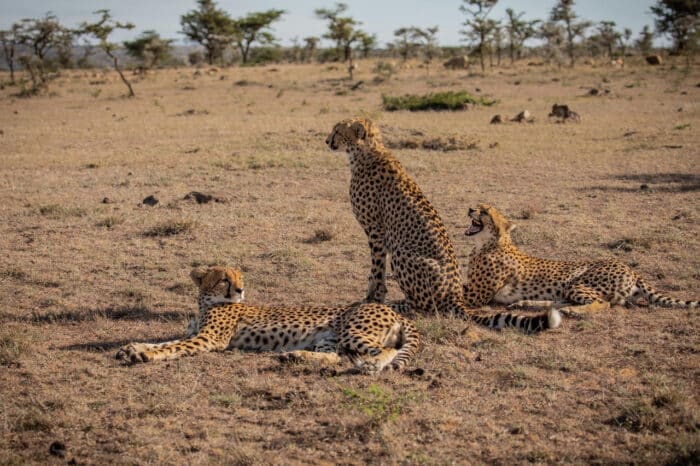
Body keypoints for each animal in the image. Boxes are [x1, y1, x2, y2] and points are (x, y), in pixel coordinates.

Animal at [117, 264, 418, 374]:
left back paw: (372, 365)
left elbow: (173, 347)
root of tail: (394, 310)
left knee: (387, 351)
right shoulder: (195, 334)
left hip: (352, 331)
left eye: (240, 278)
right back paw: (294, 357)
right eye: (224, 279)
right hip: (328, 337)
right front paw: (134, 348)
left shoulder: (208, 339)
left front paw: (144, 355)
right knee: (335, 357)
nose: (240, 290)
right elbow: (165, 342)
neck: (205, 304)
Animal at [326, 118, 560, 334]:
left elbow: (376, 269)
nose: (327, 141)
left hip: (402, 253)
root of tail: (456, 296)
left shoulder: (375, 230)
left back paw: (398, 304)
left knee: (423, 307)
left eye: (337, 130)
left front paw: (372, 297)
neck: (365, 151)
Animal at [462, 203, 696, 314]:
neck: (487, 245)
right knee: (561, 301)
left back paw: (572, 311)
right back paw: (528, 303)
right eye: (477, 205)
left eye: (485, 212)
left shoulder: (476, 295)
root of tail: (629, 268)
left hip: (579, 282)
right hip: (568, 287)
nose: (470, 209)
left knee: (603, 303)